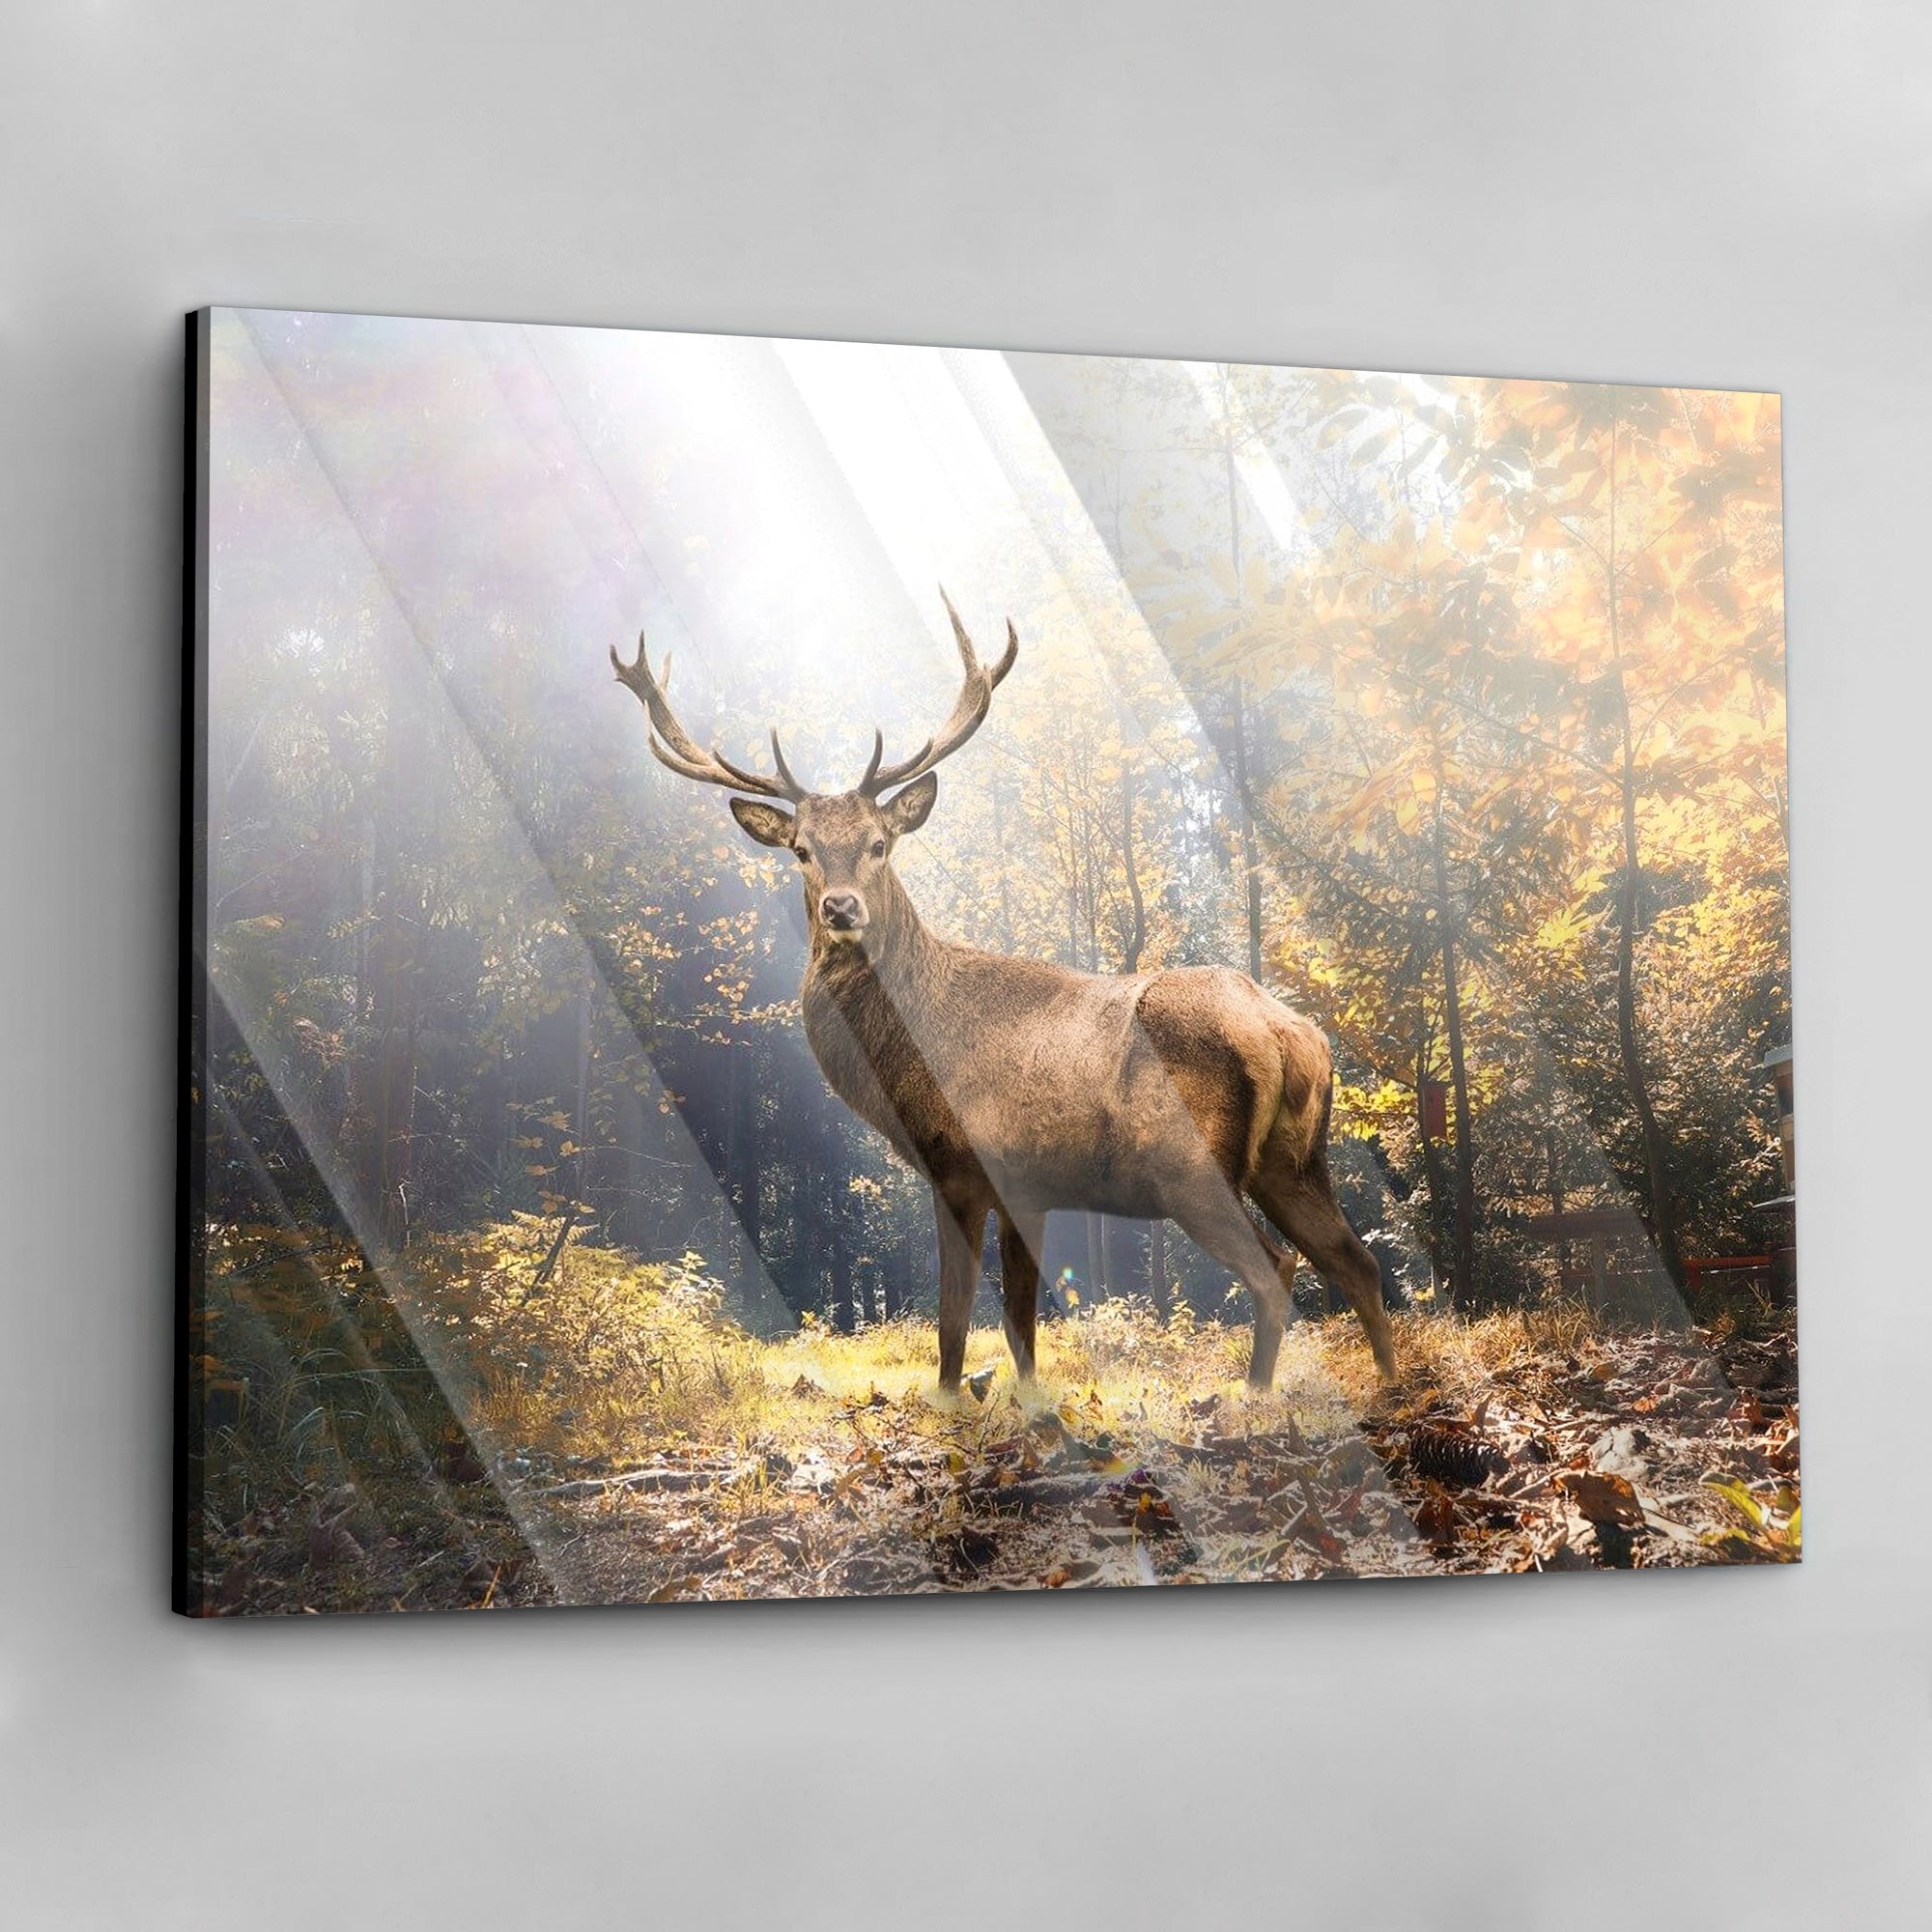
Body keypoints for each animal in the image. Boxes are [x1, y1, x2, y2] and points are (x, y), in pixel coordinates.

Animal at [612, 595, 1398, 1395]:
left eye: (879, 843)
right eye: (801, 850)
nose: (840, 908)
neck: (907, 1066)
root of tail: (1292, 1034)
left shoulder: (965, 1164)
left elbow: (955, 1322)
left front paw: (953, 1401)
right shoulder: (1031, 1187)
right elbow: (1021, 1325)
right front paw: (1029, 1406)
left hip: (1192, 1167)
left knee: (1278, 1269)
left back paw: (1253, 1398)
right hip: (1293, 1161)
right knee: (1359, 1263)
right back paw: (1388, 1385)